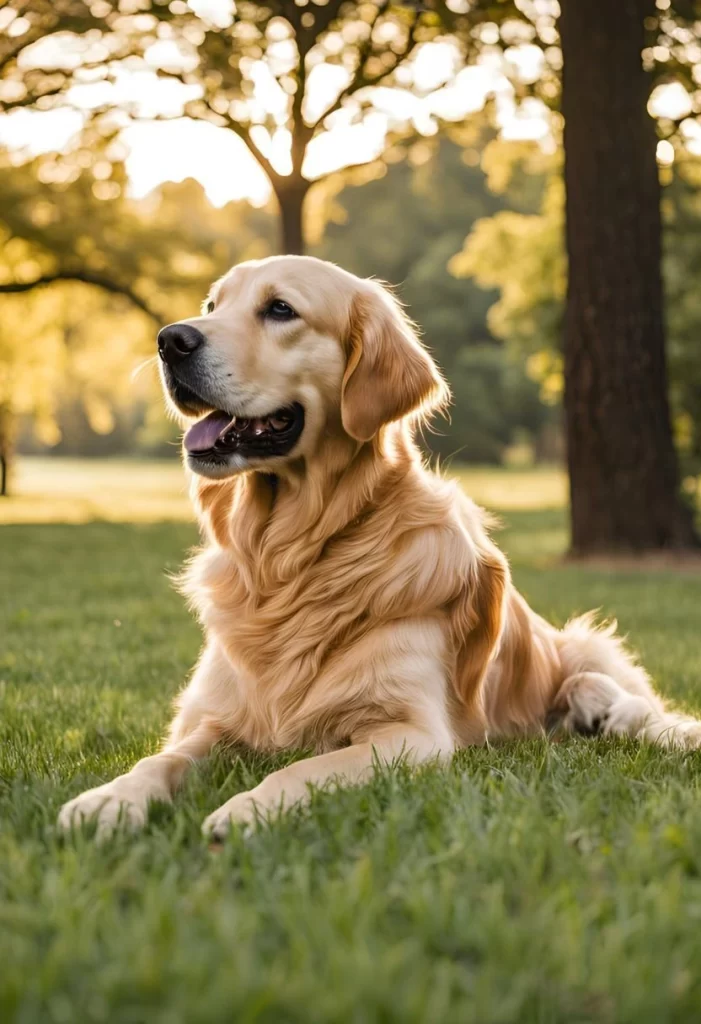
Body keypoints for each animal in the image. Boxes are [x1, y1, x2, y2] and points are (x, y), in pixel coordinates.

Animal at [57, 256, 699, 839]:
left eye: (280, 309)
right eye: (213, 304)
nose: (170, 340)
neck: (293, 559)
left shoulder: (410, 733)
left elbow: (299, 769)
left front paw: (244, 810)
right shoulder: (220, 717)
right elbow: (163, 757)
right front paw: (109, 800)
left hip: (586, 645)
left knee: (634, 702)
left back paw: (618, 714)